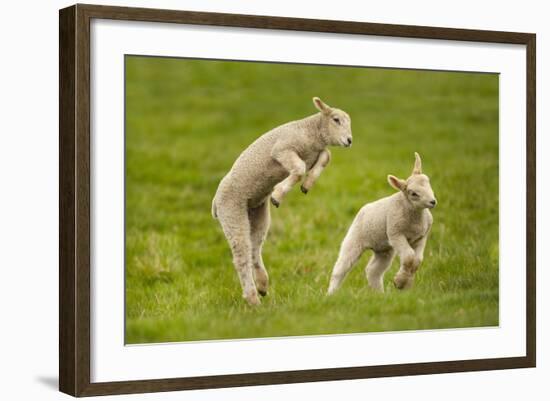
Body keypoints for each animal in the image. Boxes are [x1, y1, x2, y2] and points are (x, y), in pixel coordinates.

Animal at [213, 98, 356, 304]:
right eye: (336, 120)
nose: (349, 141)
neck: (311, 132)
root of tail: (215, 203)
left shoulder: (315, 152)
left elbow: (325, 157)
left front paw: (307, 185)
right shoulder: (282, 149)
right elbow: (300, 168)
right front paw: (278, 194)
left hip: (257, 211)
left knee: (254, 248)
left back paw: (262, 285)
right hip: (232, 210)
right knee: (241, 256)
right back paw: (252, 298)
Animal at [328, 151, 436, 294]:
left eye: (429, 183)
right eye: (413, 193)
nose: (432, 202)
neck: (416, 217)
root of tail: (363, 209)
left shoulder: (421, 237)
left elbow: (416, 260)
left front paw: (404, 283)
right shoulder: (396, 234)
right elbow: (408, 257)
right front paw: (400, 282)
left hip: (384, 249)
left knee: (373, 271)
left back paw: (379, 294)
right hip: (354, 239)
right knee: (340, 268)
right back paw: (330, 293)